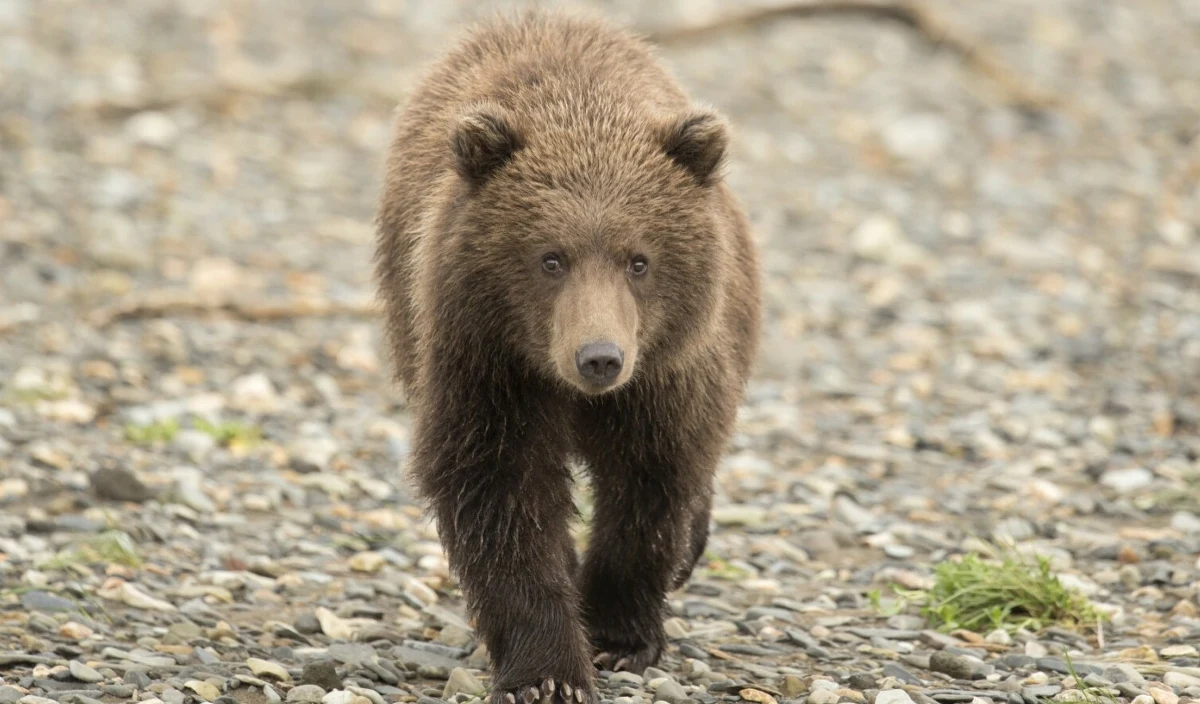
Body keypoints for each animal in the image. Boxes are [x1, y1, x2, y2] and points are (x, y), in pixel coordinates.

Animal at [373, 8, 761, 704]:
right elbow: (499, 493)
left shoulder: (664, 376)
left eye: (639, 260)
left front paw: (617, 635)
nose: (599, 357)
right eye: (550, 258)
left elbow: (652, 483)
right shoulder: (489, 368)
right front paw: (548, 672)